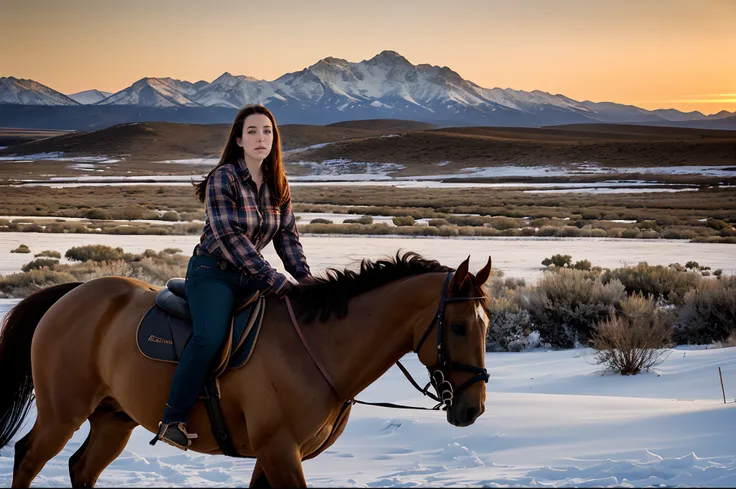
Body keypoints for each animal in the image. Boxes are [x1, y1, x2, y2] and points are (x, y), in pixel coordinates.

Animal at [1, 250, 494, 486]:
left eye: (486, 325)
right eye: (457, 325)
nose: (473, 409)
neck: (316, 349)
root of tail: (71, 294)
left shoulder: (275, 455)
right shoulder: (279, 451)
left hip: (112, 419)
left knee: (81, 468)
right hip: (62, 413)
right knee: (27, 458)